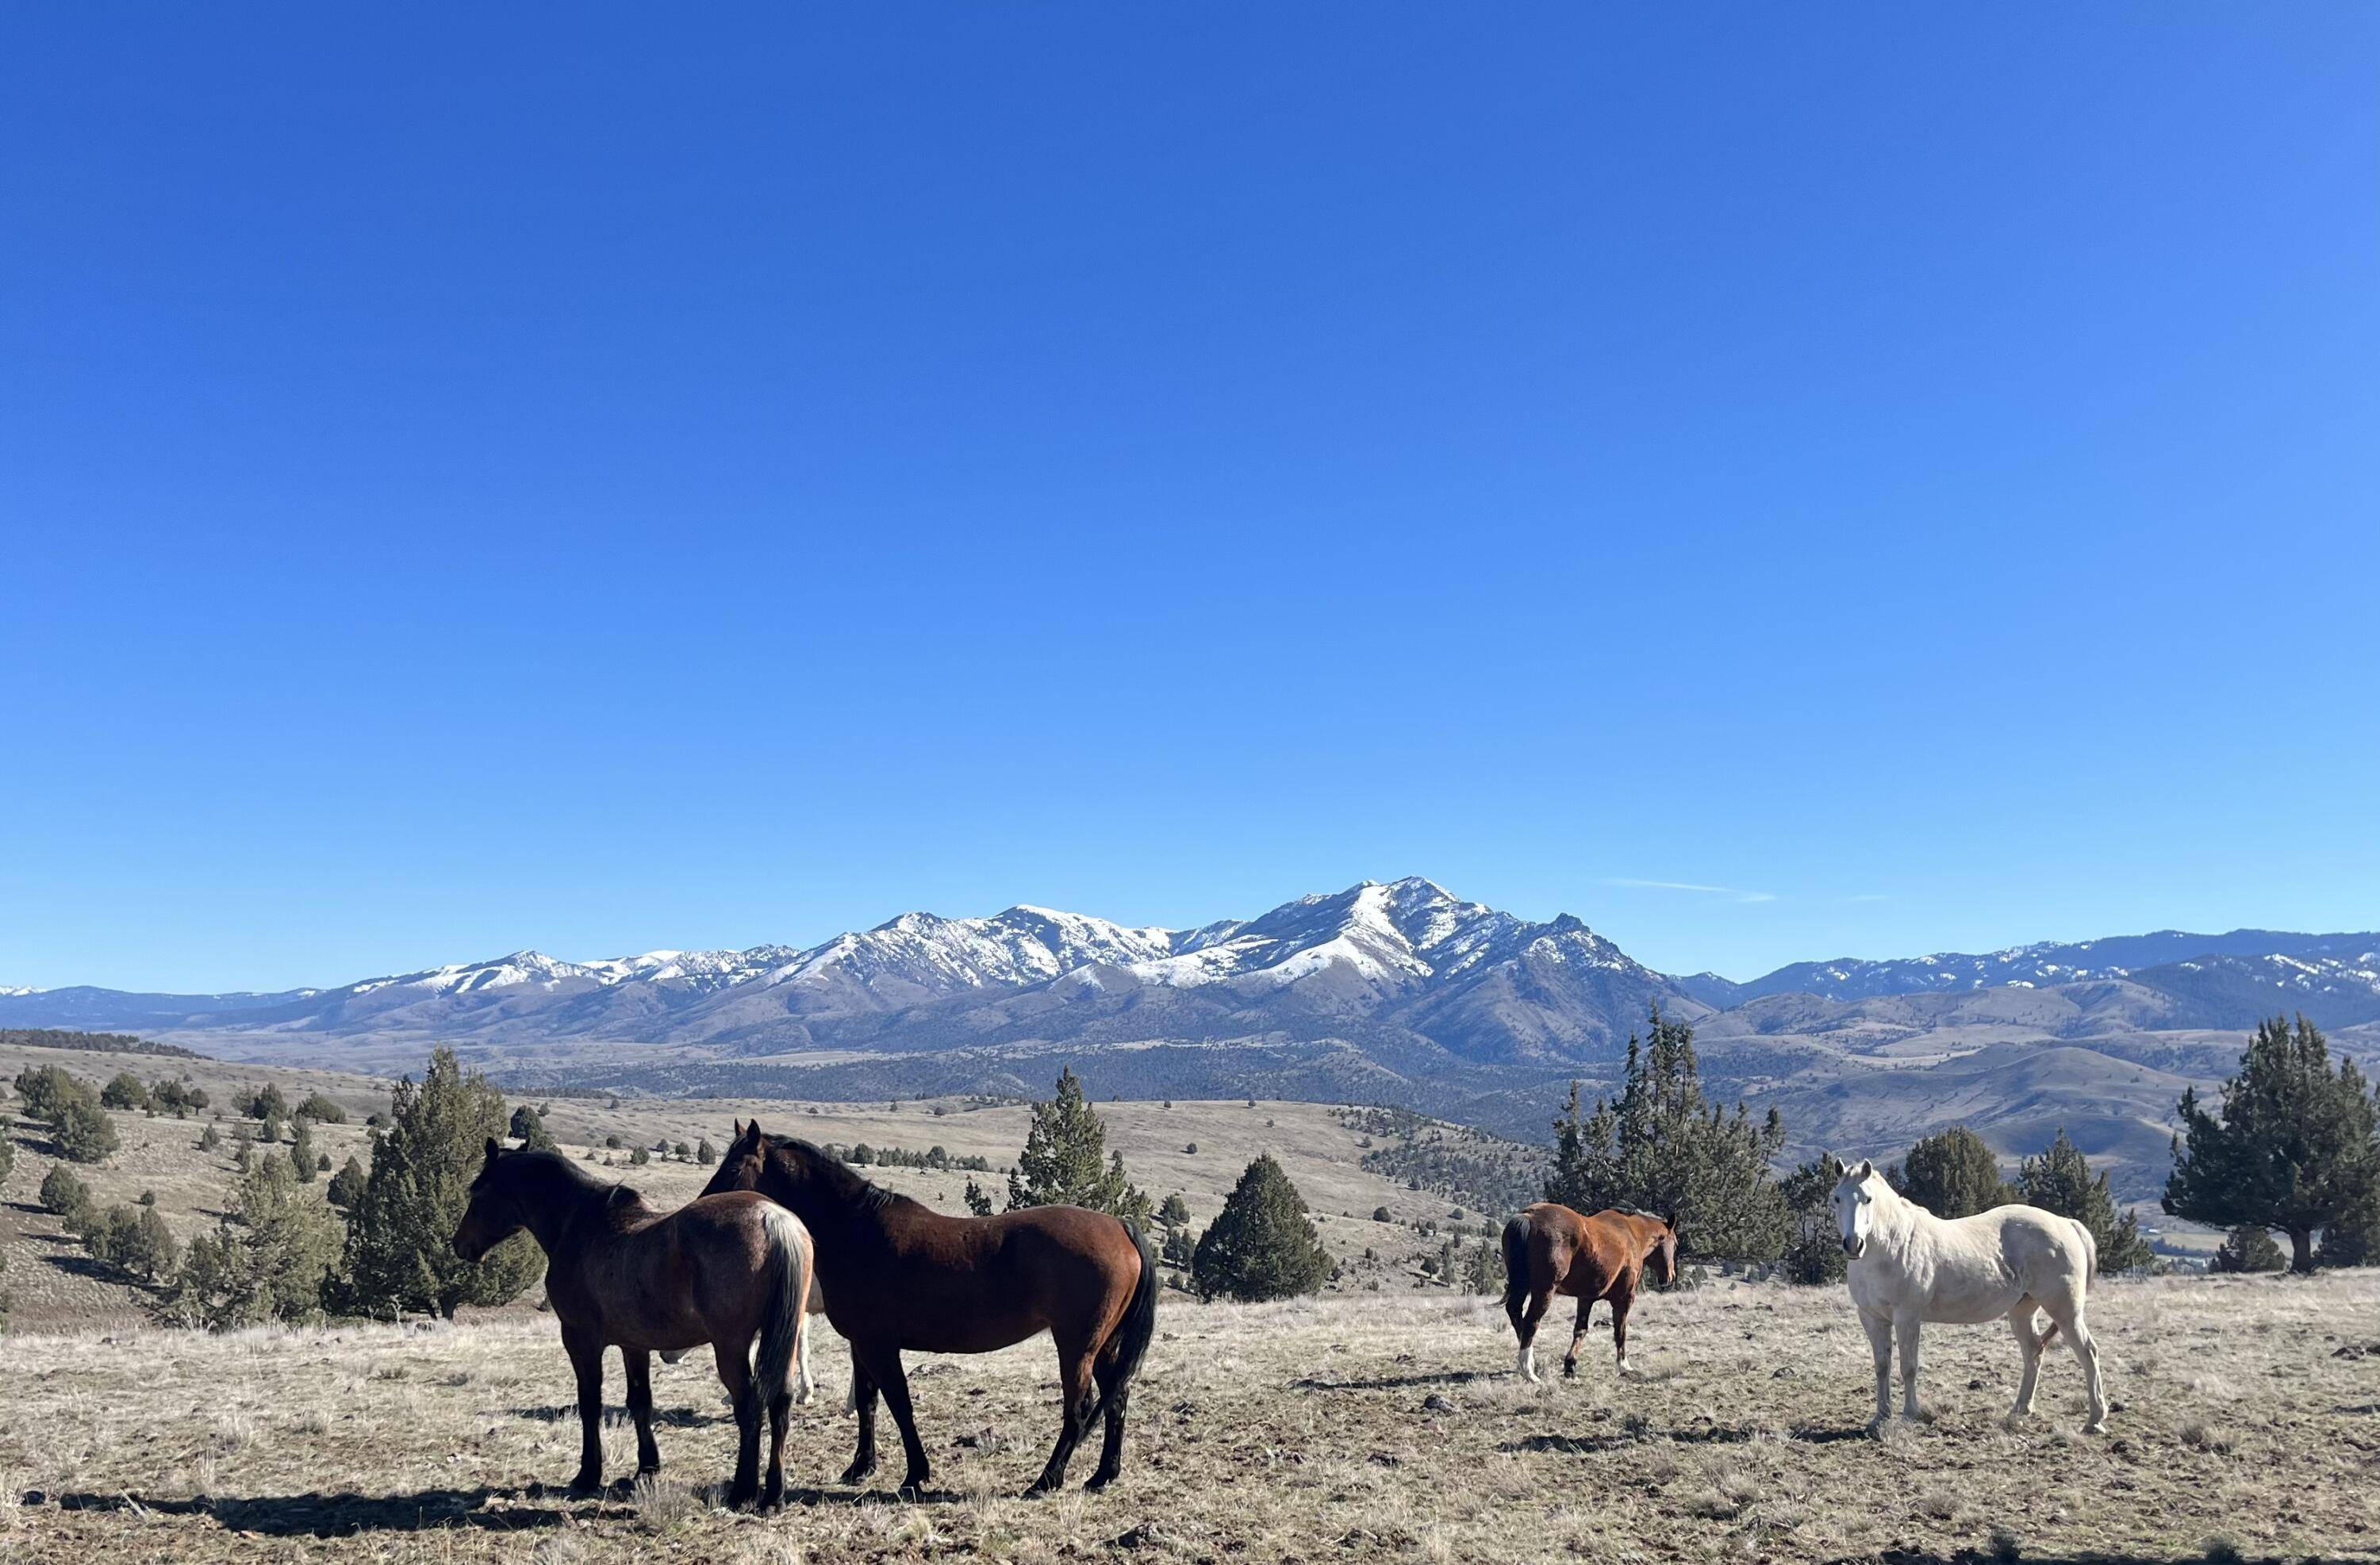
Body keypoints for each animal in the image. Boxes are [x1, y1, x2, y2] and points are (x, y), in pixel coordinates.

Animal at [452, 1141, 819, 1503]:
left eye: (477, 1192)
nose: (459, 1244)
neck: (579, 1224)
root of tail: (772, 1218)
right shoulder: (634, 1345)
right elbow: (640, 1403)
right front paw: (647, 1469)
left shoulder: (580, 1341)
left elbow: (590, 1404)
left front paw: (588, 1474)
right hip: (782, 1340)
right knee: (781, 1402)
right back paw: (774, 1493)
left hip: (731, 1347)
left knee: (750, 1406)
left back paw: (743, 1489)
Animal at [700, 1113, 1157, 1494]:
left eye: (735, 1168)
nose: (704, 1207)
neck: (856, 1231)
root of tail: (1120, 1225)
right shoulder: (862, 1345)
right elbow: (867, 1403)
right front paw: (861, 1467)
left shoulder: (880, 1347)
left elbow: (900, 1405)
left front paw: (915, 1475)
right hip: (1103, 1346)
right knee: (1116, 1397)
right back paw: (1102, 1476)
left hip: (1077, 1347)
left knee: (1079, 1410)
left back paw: (1047, 1480)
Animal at [1495, 1194, 1685, 1379]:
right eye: (1675, 1244)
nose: (1670, 1277)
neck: (1631, 1233)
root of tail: (1530, 1216)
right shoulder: (1624, 1299)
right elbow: (1620, 1331)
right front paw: (1624, 1366)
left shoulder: (1586, 1298)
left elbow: (1580, 1330)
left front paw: (1570, 1366)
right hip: (1544, 1291)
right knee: (1531, 1322)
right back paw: (1529, 1371)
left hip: (1522, 1286)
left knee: (1515, 1313)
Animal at [1828, 1151, 2113, 1437]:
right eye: (1837, 1198)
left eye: (1868, 1198)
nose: (1853, 1244)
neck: (1891, 1245)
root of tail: (2066, 1223)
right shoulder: (1872, 1318)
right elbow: (1882, 1367)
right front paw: (1880, 1417)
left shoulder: (1907, 1317)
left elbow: (1908, 1367)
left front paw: (1910, 1414)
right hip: (2023, 1310)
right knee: (2034, 1351)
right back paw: (2020, 1410)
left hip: (2065, 1310)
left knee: (2088, 1351)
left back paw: (2094, 1420)